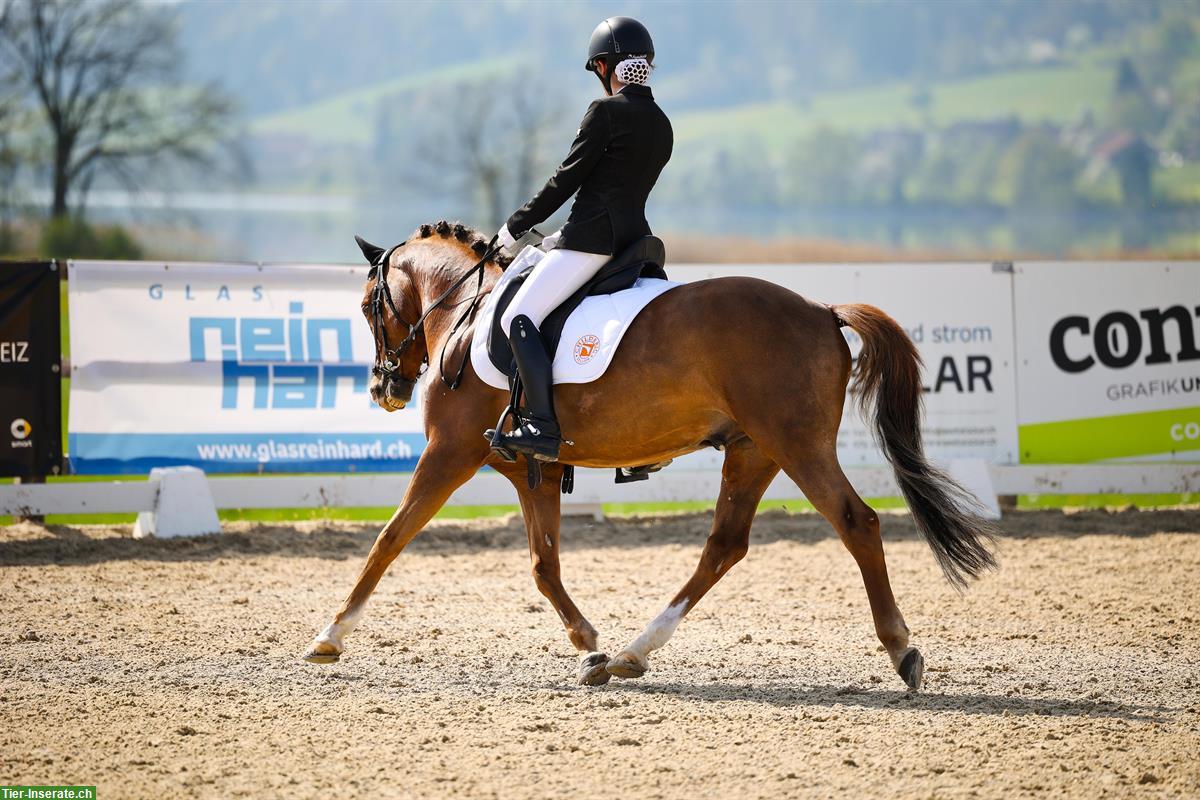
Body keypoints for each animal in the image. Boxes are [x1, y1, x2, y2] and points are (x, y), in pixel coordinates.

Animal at [304, 219, 998, 690]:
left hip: (795, 444)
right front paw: (588, 647)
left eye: (367, 306)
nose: (384, 389)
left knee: (857, 522)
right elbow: (543, 563)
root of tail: (824, 311)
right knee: (724, 546)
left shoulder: (448, 453)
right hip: (753, 450)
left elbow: (390, 538)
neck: (467, 316)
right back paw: (633, 652)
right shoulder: (536, 468)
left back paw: (902, 649)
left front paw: (329, 636)